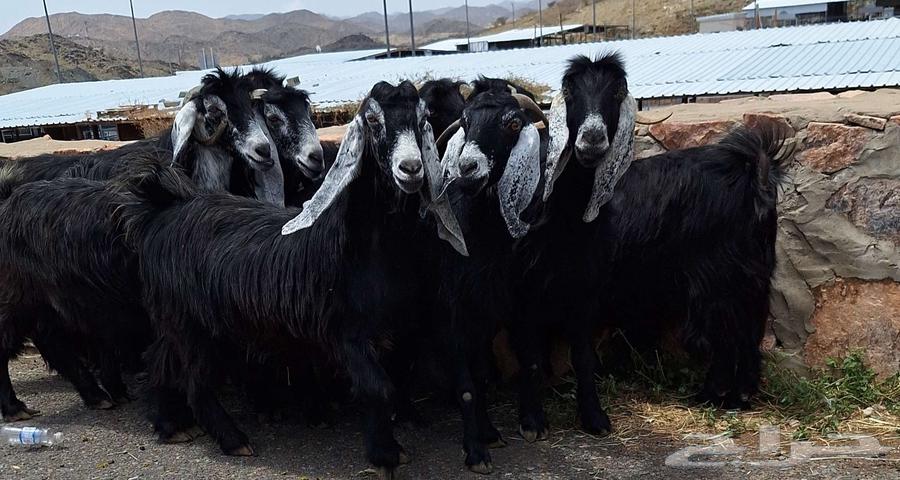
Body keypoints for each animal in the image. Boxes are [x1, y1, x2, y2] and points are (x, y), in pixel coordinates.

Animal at [115, 81, 464, 478]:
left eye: (422, 118)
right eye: (373, 120)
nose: (410, 168)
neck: (358, 249)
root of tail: (158, 212)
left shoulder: (400, 329)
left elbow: (398, 378)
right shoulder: (346, 334)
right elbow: (378, 388)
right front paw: (385, 455)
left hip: (178, 321)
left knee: (157, 356)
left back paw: (169, 424)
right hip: (190, 325)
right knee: (197, 382)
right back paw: (233, 440)